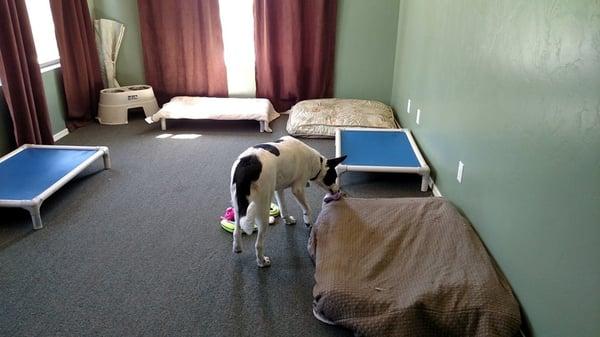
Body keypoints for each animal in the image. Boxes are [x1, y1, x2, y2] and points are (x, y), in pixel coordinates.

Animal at [231, 135, 346, 266]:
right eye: (334, 176)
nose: (338, 190)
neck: (315, 162)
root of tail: (247, 164)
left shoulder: (279, 189)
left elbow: (283, 209)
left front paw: (288, 220)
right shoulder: (297, 189)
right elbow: (307, 208)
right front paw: (308, 221)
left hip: (239, 206)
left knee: (237, 230)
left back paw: (237, 247)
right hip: (263, 207)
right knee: (258, 244)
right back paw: (262, 261)